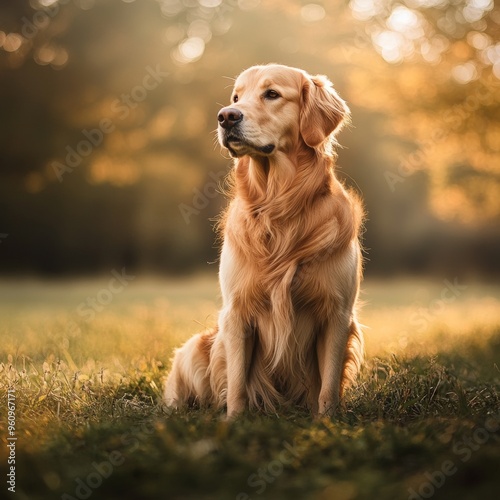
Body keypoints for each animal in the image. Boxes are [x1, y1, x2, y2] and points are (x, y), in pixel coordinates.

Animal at [166, 63, 366, 418]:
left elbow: (328, 385)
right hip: (194, 348)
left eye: (272, 94)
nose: (226, 117)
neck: (278, 205)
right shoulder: (236, 312)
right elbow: (237, 384)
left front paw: (327, 422)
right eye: (236, 97)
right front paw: (234, 420)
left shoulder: (337, 313)